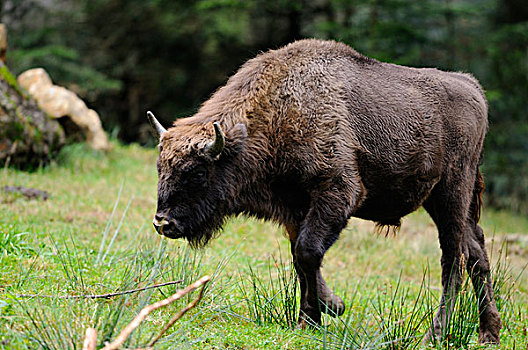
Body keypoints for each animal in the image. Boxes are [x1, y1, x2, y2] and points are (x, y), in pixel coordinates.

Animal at [147, 39, 500, 344]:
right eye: (160, 167)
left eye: (197, 172)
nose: (163, 223)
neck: (279, 109)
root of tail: (473, 88)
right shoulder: (295, 209)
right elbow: (300, 258)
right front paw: (320, 313)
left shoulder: (337, 192)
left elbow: (308, 252)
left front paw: (319, 314)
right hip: (448, 202)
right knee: (476, 253)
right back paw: (489, 333)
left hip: (451, 193)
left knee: (454, 258)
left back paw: (435, 334)